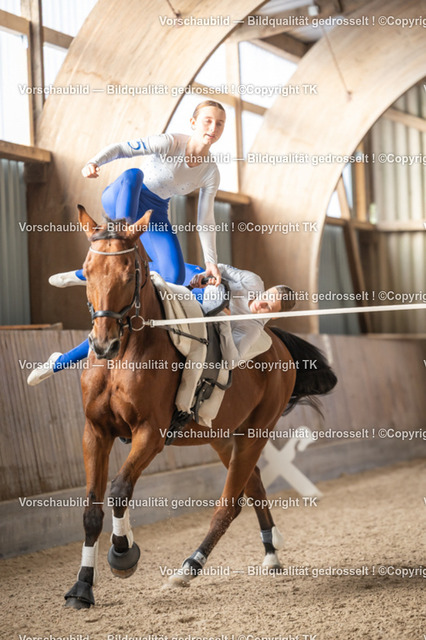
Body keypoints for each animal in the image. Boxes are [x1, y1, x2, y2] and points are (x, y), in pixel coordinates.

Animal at [64, 206, 337, 609]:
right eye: (88, 268)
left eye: (130, 272)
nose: (103, 344)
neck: (126, 354)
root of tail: (277, 342)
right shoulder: (95, 432)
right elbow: (91, 510)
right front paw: (82, 587)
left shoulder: (151, 434)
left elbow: (119, 489)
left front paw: (123, 554)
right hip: (223, 436)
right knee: (254, 487)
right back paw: (271, 553)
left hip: (254, 433)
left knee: (229, 505)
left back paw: (188, 568)